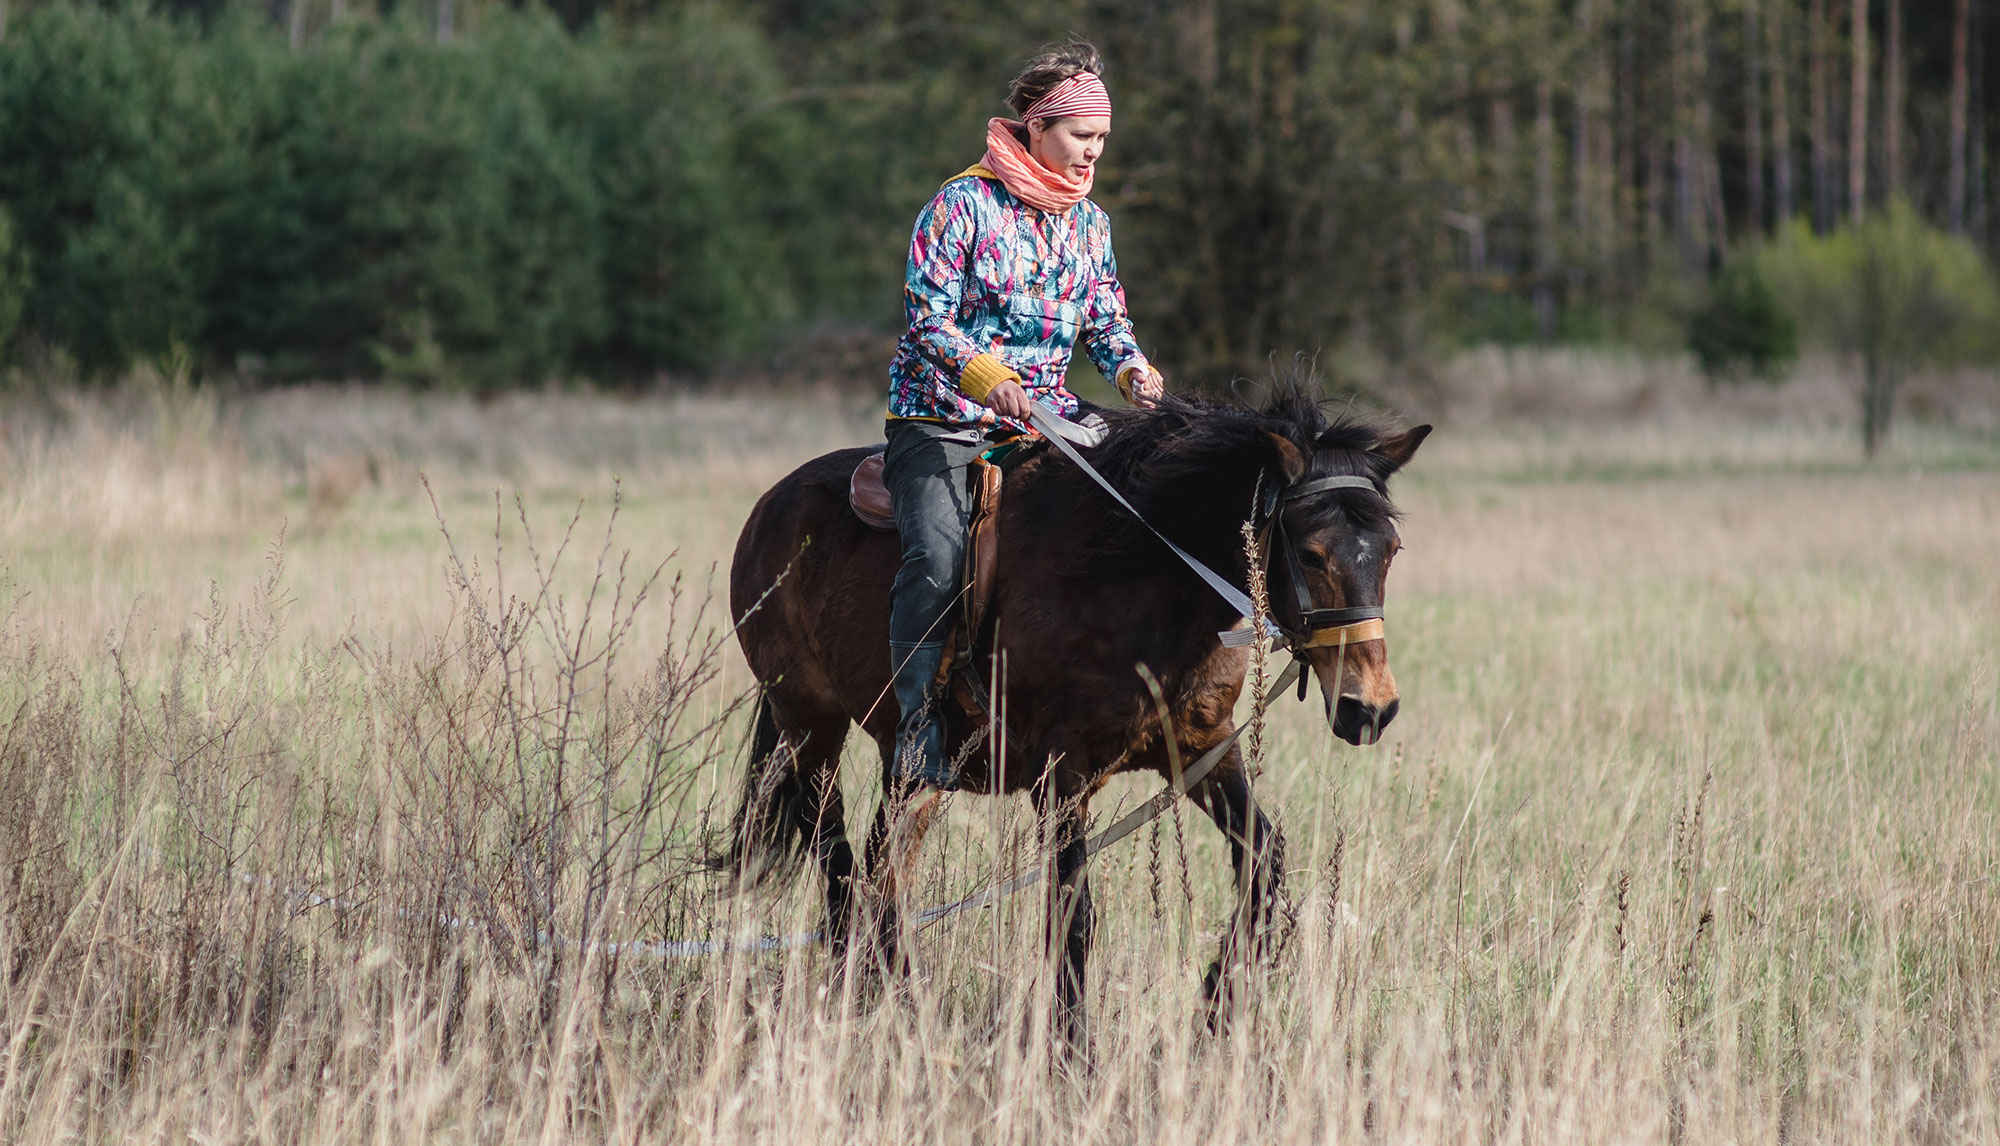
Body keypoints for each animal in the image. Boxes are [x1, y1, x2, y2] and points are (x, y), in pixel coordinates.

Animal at [716, 386, 1424, 1048]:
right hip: (811, 726)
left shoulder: (1201, 751)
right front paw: (1073, 1053)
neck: (1133, 569)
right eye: (1310, 553)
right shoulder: (1060, 775)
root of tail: (769, 507)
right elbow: (1074, 915)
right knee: (838, 867)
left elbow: (1265, 867)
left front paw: (1217, 1007)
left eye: (1392, 549)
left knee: (881, 876)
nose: (1370, 708)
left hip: (911, 770)